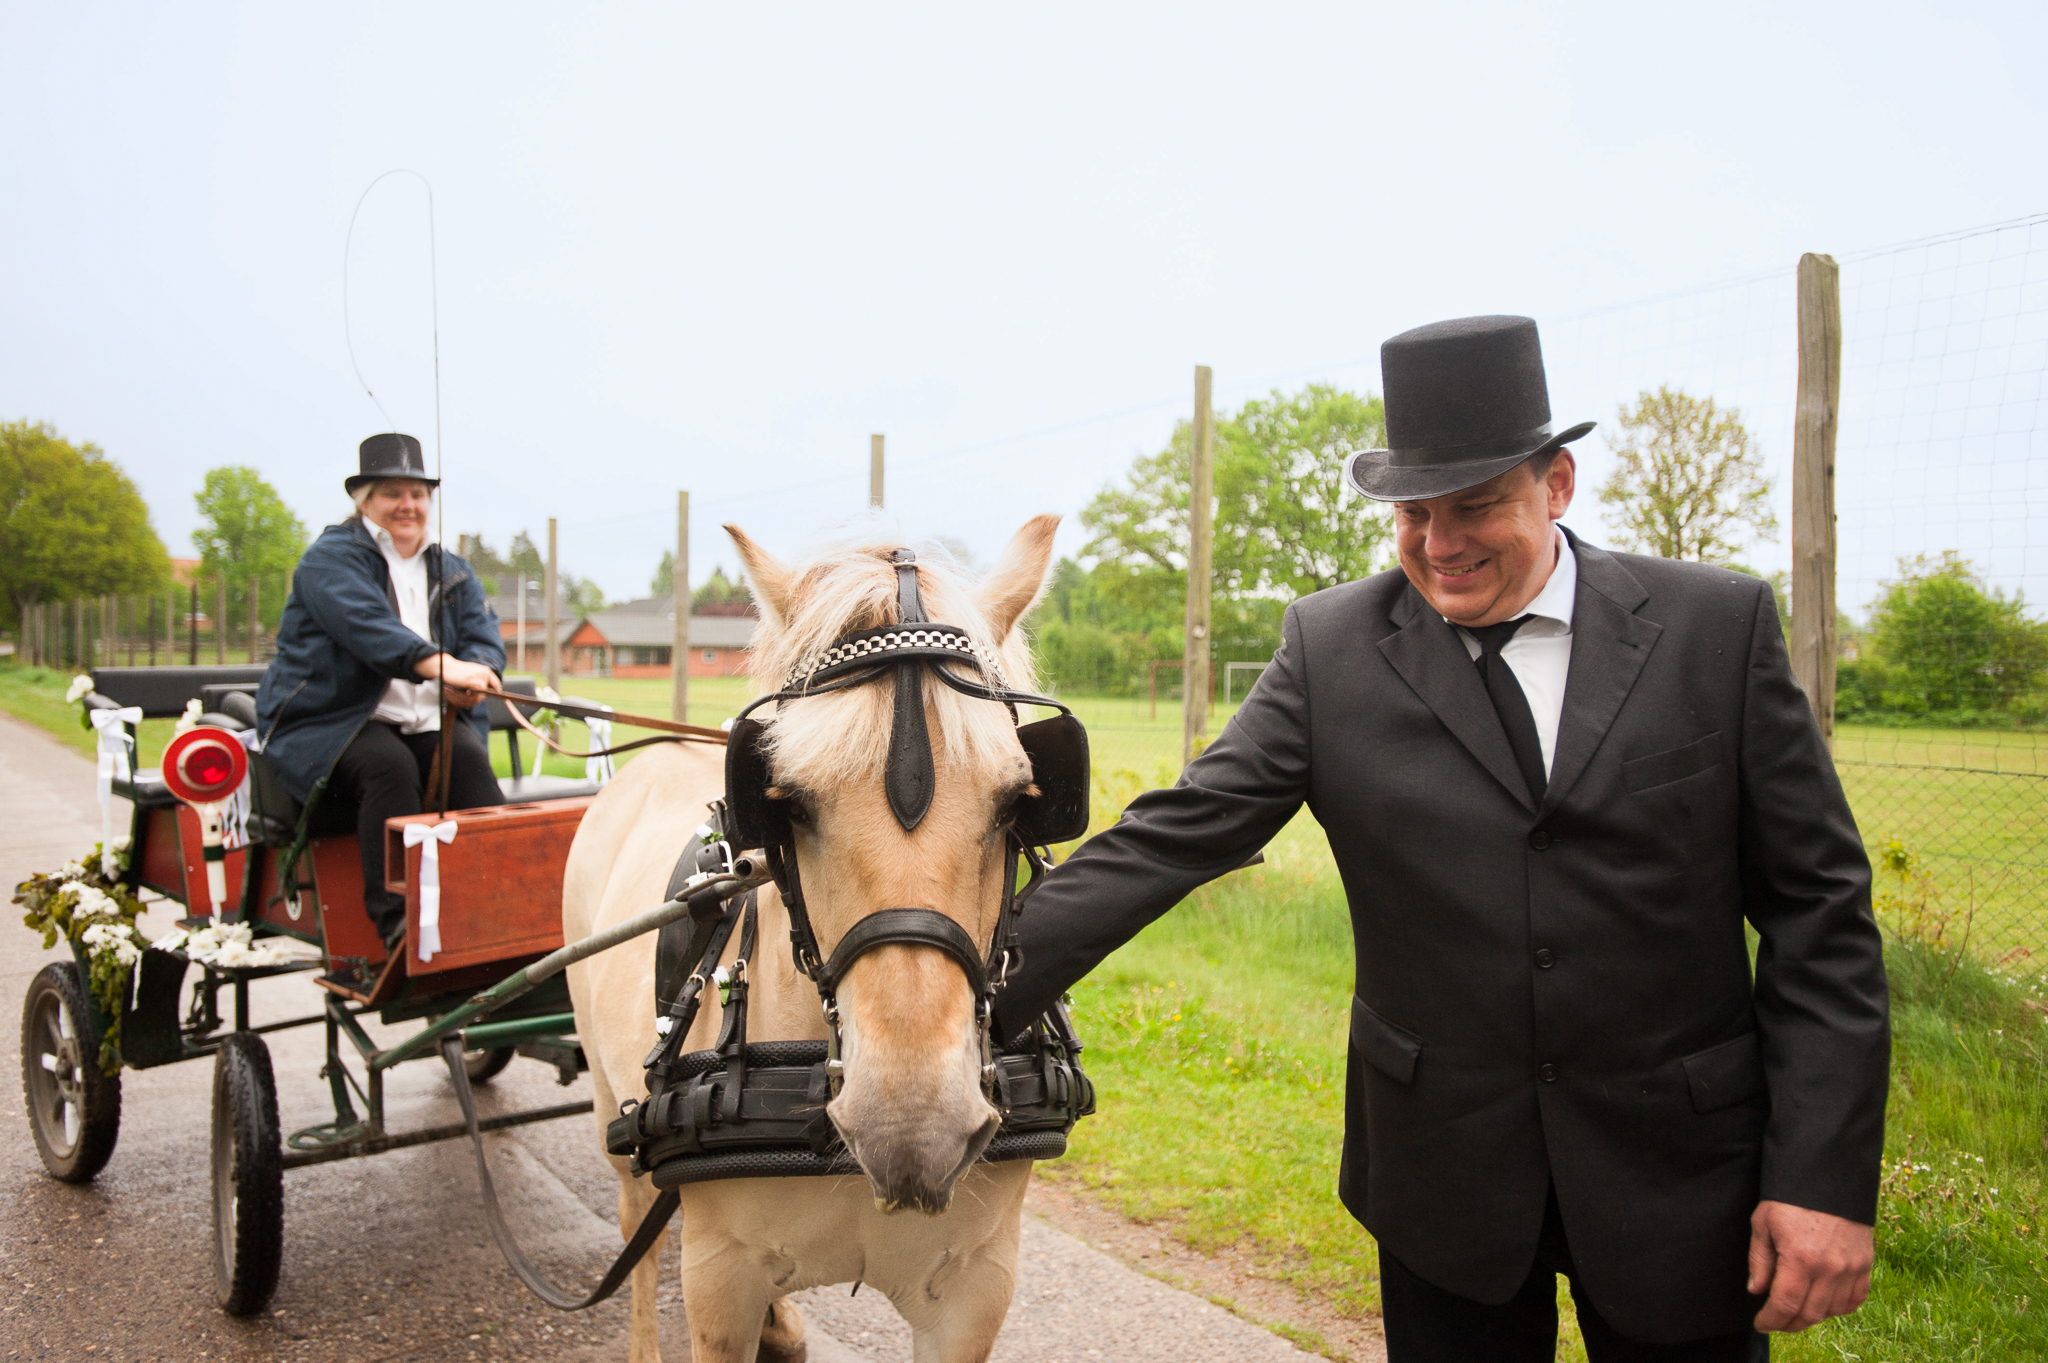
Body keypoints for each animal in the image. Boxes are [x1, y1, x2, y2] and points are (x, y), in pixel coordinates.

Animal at [565, 511, 1064, 1358]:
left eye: (1016, 800)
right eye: (788, 801)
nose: (911, 1129)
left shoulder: (976, 1289)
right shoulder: (718, 1282)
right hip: (608, 1094)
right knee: (637, 1220)